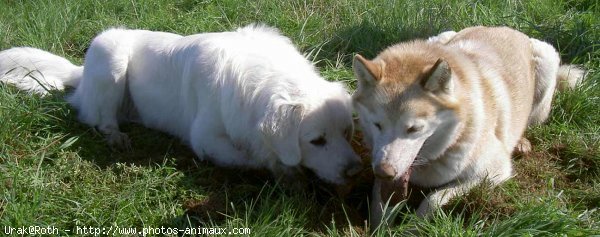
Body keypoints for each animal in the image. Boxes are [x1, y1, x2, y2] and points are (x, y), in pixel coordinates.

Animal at [1, 24, 360, 183]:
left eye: (346, 132)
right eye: (316, 141)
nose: (355, 171)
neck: (265, 76)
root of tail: (80, 73)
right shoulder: (205, 139)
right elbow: (250, 157)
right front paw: (283, 167)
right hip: (110, 52)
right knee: (99, 119)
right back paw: (116, 136)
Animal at [354, 26, 584, 225]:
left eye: (414, 129)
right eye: (377, 125)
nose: (384, 171)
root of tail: (506, 28)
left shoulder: (495, 171)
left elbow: (433, 199)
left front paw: (413, 228)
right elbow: (379, 203)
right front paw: (379, 227)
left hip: (545, 72)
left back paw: (521, 143)